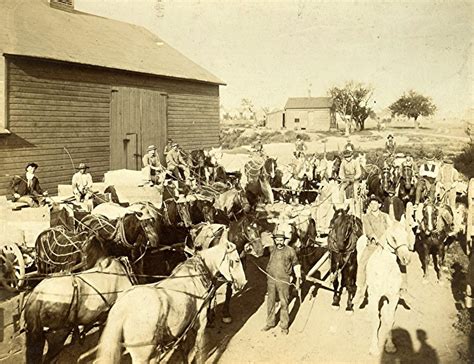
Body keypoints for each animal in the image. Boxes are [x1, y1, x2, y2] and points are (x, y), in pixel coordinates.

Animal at [94, 233, 246, 364]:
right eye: (236, 260)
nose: (243, 282)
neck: (197, 274)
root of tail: (121, 309)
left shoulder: (183, 326)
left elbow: (184, 349)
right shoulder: (200, 321)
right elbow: (198, 349)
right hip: (143, 354)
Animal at [360, 220, 414, 354]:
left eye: (406, 236)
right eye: (394, 238)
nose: (406, 259)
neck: (385, 268)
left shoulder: (393, 296)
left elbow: (390, 320)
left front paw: (390, 345)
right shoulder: (374, 296)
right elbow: (376, 320)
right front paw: (374, 348)